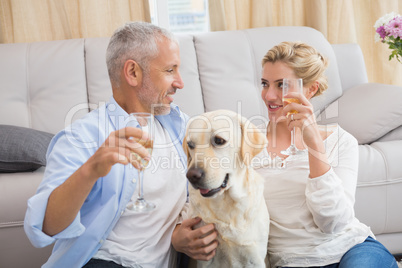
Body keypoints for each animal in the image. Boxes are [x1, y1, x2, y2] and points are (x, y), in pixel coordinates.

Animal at [184, 110, 268, 266]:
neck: (226, 203)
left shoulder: (254, 258)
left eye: (219, 140)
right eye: (190, 144)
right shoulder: (205, 256)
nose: (192, 176)